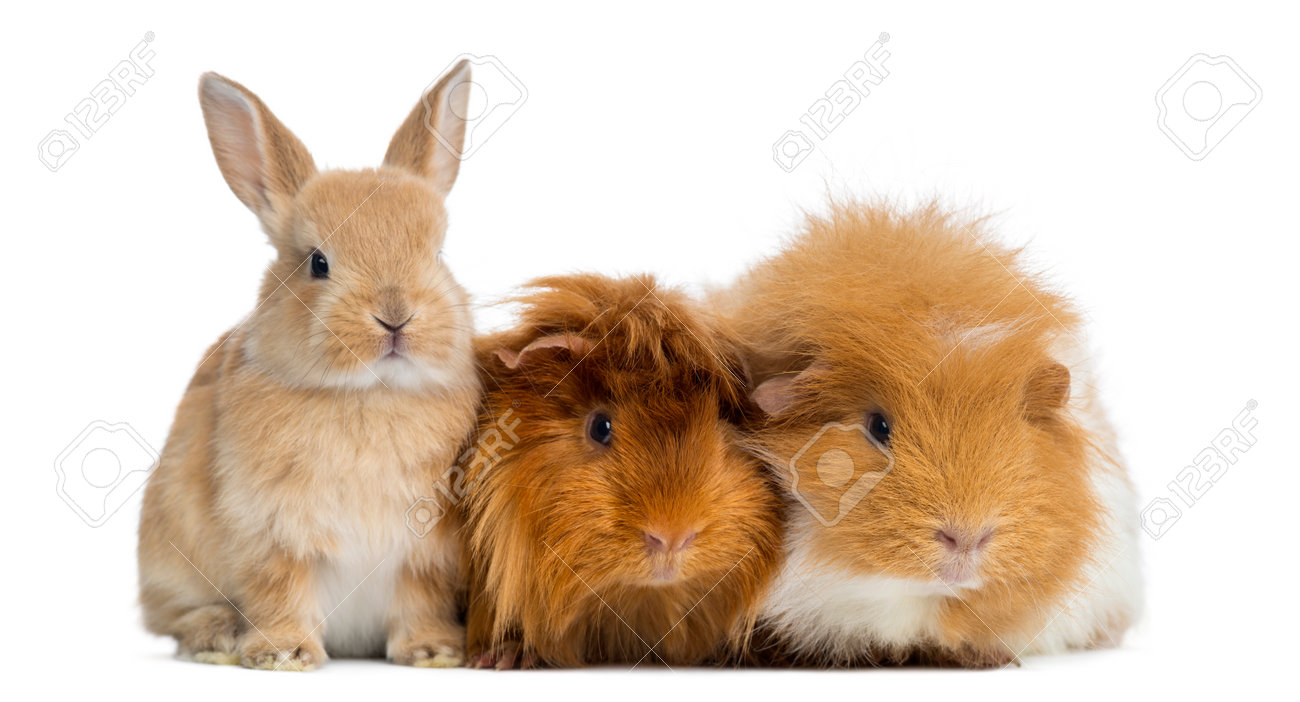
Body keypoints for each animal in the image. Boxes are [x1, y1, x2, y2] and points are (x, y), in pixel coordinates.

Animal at [136, 61, 483, 671]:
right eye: (318, 263)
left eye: (439, 255)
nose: (395, 316)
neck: (371, 393)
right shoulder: (271, 532)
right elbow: (280, 588)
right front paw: (284, 654)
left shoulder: (425, 554)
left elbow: (420, 598)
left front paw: (433, 651)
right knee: (175, 617)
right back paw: (217, 635)